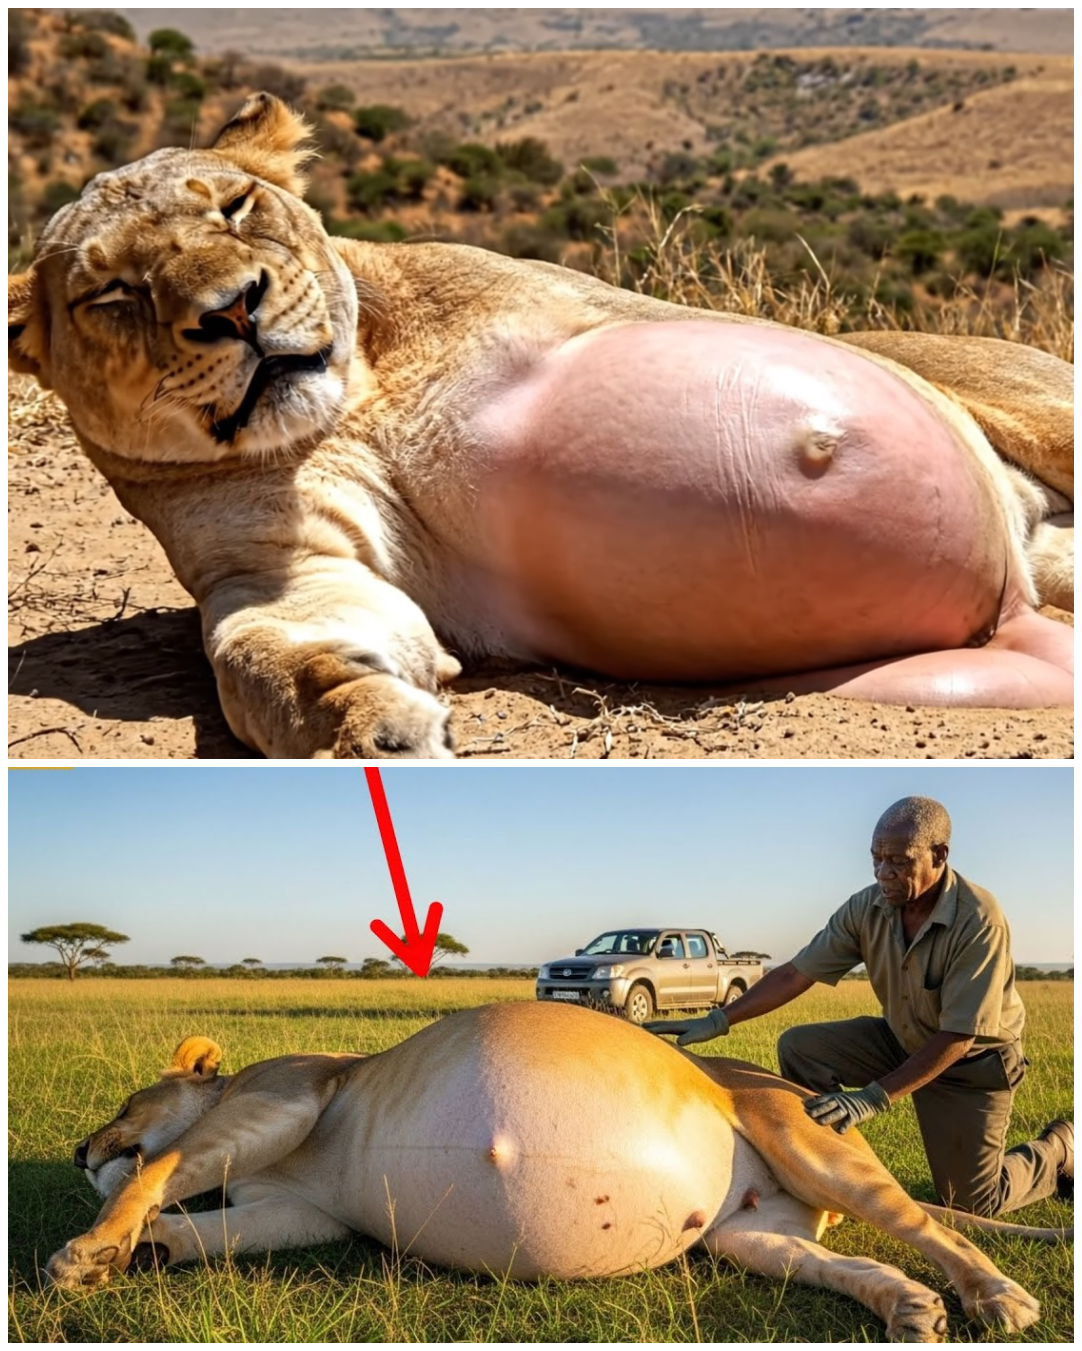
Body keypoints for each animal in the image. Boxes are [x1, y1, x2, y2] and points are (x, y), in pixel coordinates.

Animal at [8, 94, 1073, 758]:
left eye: (234, 204)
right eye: (112, 292)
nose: (234, 308)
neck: (354, 399)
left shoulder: (622, 311)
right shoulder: (282, 569)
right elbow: (265, 662)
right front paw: (367, 727)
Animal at [47, 1003, 1069, 1342]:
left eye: (126, 1099)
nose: (79, 1149)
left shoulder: (290, 1092)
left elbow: (161, 1166)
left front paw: (85, 1252)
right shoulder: (304, 1214)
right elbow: (191, 1223)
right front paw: (134, 1253)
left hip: (812, 1148)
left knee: (924, 1224)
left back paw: (996, 1296)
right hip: (751, 1233)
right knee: (850, 1261)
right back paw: (910, 1307)